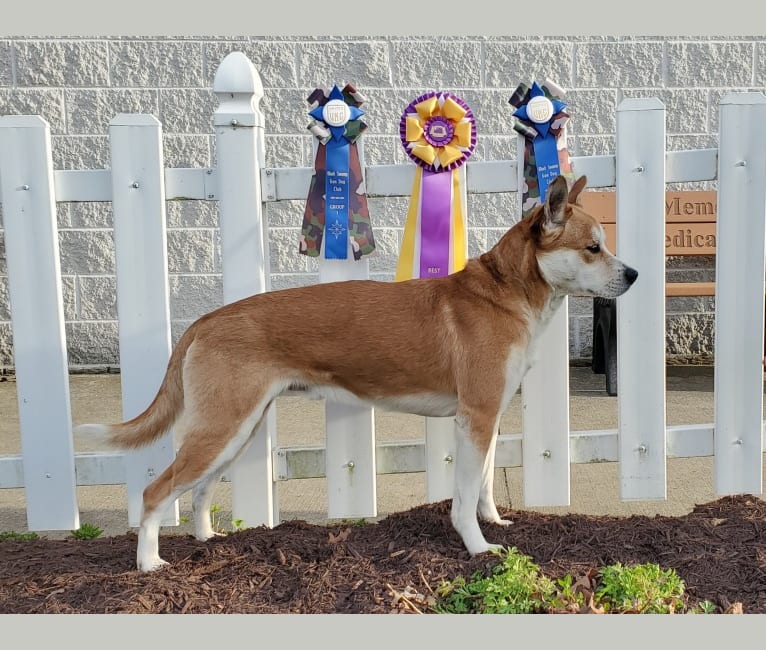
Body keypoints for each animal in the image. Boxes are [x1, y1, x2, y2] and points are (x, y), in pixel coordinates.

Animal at [76, 175, 636, 568]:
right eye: (592, 247)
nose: (633, 274)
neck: (504, 292)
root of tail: (206, 319)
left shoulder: (490, 416)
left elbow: (483, 487)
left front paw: (495, 522)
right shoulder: (475, 417)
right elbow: (462, 497)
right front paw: (479, 548)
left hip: (236, 428)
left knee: (198, 491)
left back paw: (209, 540)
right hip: (222, 427)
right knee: (155, 493)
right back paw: (150, 563)